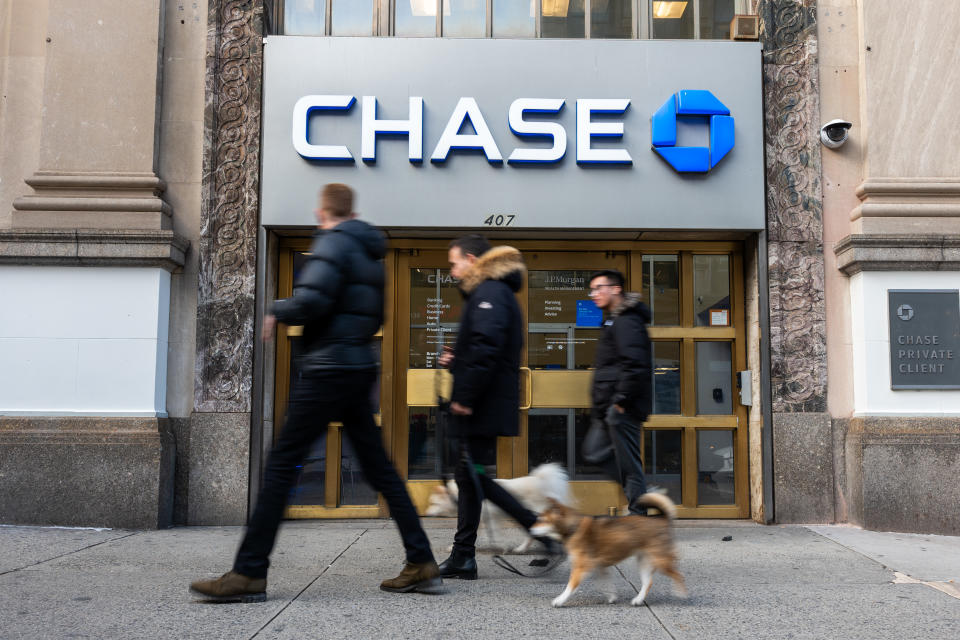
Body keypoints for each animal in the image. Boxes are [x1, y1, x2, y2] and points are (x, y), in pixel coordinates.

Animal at [422, 460, 568, 556]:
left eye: (433, 504)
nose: (426, 514)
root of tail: (540, 481)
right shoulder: (486, 518)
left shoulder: (491, 517)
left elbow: (495, 534)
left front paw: (502, 546)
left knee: (534, 531)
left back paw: (524, 548)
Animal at [528, 492, 688, 608]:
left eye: (541, 520)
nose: (529, 530)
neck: (573, 527)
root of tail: (662, 519)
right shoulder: (599, 566)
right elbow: (603, 584)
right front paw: (612, 596)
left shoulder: (581, 567)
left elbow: (570, 586)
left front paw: (560, 600)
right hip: (644, 562)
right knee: (648, 583)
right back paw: (638, 599)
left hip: (661, 561)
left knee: (679, 575)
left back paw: (681, 594)